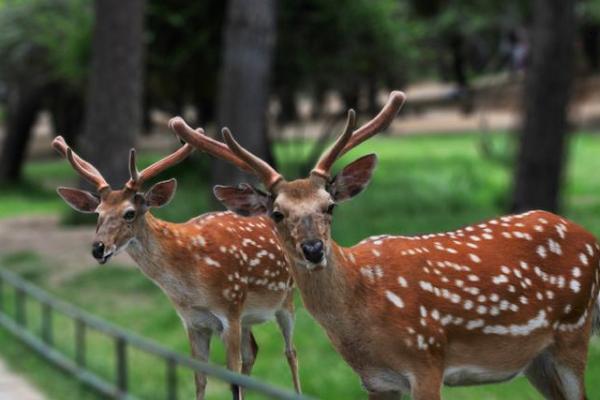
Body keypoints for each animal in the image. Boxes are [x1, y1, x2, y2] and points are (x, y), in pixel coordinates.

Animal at [51, 136, 302, 398]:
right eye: (97, 214)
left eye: (129, 213)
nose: (98, 248)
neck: (190, 285)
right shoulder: (193, 321)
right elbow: (200, 379)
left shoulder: (230, 311)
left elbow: (231, 379)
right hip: (248, 318)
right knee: (253, 351)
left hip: (286, 299)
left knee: (291, 352)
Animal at [169, 90, 600, 400]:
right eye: (276, 213)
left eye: (329, 206)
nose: (313, 250)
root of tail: (590, 237)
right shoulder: (377, 380)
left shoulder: (427, 360)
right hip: (536, 359)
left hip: (573, 331)